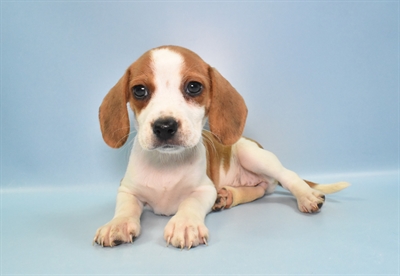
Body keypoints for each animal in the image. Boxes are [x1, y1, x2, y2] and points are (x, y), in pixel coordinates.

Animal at [93, 44, 346, 248]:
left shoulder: (204, 189)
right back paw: (228, 196)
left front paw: (185, 224)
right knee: (260, 189)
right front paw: (117, 224)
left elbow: (190, 203)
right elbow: (125, 208)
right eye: (139, 90)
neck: (166, 163)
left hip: (252, 155)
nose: (165, 126)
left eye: (194, 87)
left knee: (287, 176)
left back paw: (306, 196)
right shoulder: (127, 189)